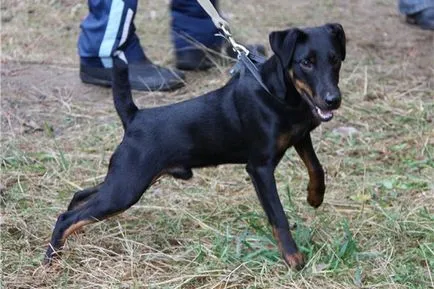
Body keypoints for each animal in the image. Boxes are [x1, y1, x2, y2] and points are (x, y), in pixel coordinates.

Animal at [44, 23, 346, 268]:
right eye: (306, 62)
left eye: (335, 60)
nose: (333, 100)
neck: (278, 93)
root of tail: (135, 117)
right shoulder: (259, 168)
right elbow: (278, 216)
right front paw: (293, 258)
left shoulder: (301, 136)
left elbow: (316, 167)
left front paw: (315, 197)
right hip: (126, 188)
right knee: (66, 218)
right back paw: (51, 259)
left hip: (126, 181)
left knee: (80, 197)